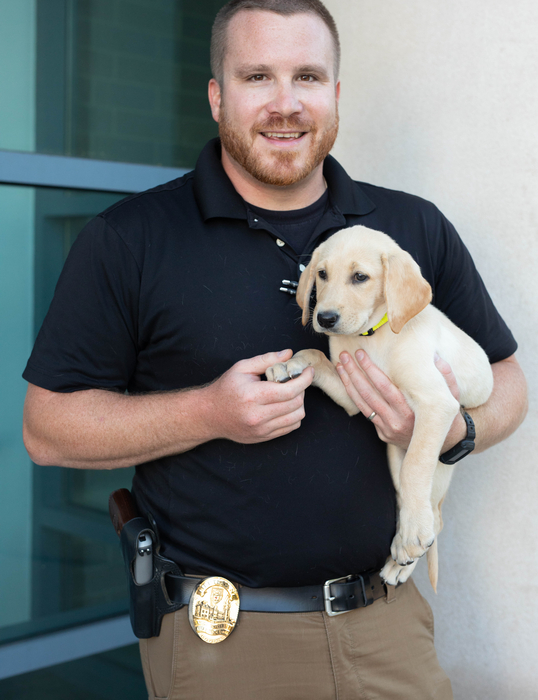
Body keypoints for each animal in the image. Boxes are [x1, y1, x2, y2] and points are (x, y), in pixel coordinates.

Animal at [266, 226, 492, 592]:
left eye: (360, 277)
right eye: (321, 274)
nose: (325, 318)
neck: (373, 336)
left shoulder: (437, 402)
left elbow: (416, 466)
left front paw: (413, 534)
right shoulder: (350, 391)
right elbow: (315, 356)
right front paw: (288, 364)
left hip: (437, 471)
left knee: (434, 515)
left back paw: (406, 551)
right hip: (393, 458)